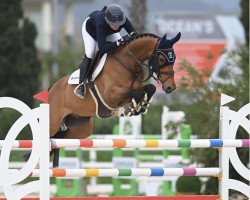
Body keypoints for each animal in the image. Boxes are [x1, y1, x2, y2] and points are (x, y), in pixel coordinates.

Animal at [49, 32, 182, 140]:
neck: (127, 64)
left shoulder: (129, 92)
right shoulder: (111, 95)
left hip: (80, 128)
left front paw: (140, 107)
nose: (171, 87)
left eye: (174, 58)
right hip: (54, 123)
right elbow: (137, 93)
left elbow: (150, 89)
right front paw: (131, 109)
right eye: (161, 59)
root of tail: (50, 90)